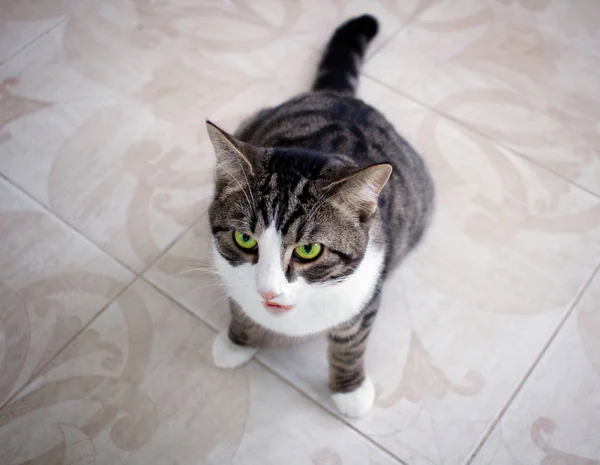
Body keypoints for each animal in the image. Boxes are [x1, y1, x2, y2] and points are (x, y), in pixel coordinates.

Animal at [204, 14, 434, 416]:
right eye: (244, 239)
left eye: (308, 250)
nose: (268, 292)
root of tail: (342, 98)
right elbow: (240, 307)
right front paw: (237, 343)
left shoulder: (366, 293)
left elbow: (350, 343)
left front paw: (349, 390)